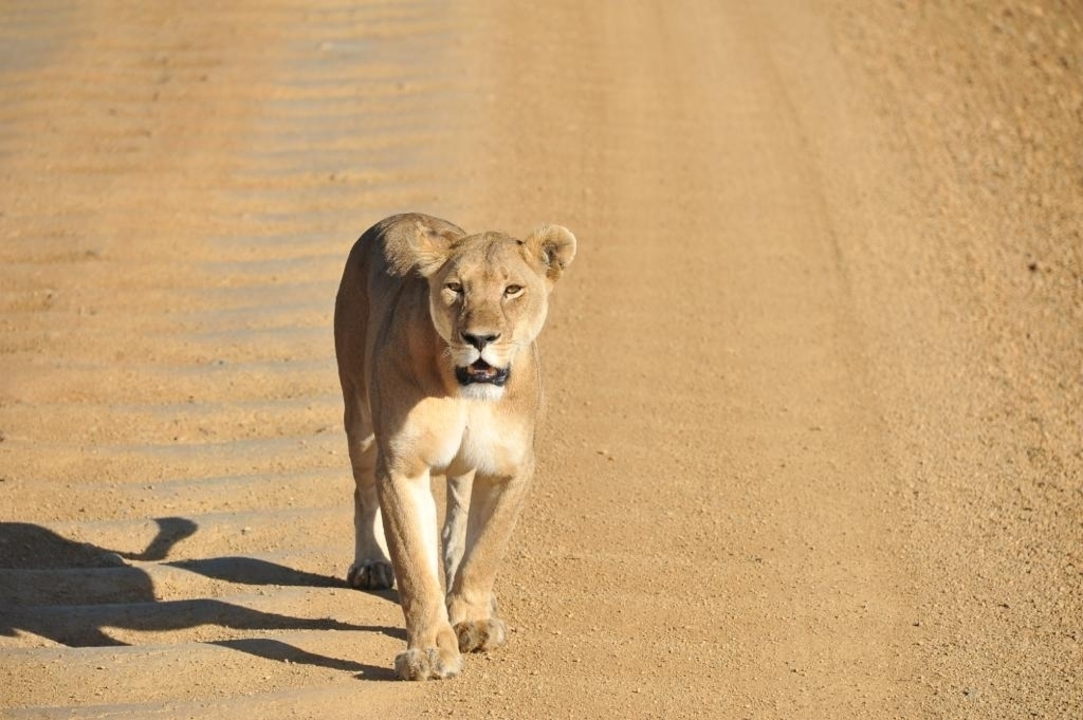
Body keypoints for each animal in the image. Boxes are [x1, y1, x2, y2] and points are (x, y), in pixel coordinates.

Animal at [333, 213, 576, 680]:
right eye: (455, 288)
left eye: (512, 290)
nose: (479, 337)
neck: (465, 392)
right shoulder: (402, 467)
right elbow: (415, 567)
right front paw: (428, 652)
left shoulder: (510, 468)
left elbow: (485, 550)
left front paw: (473, 622)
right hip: (359, 415)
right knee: (362, 492)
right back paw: (370, 564)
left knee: (457, 524)